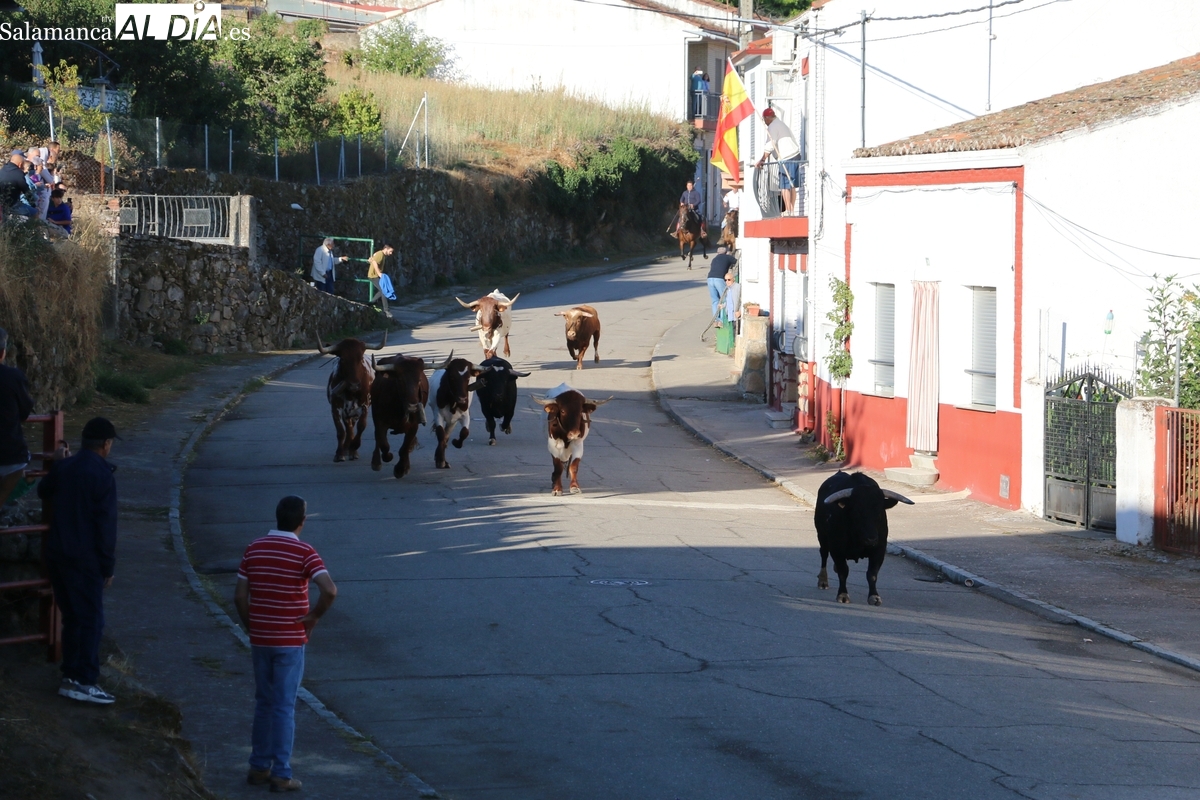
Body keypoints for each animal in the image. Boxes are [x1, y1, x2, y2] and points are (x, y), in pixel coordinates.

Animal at [316, 330, 387, 462]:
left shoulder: (364, 406)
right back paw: (346, 448)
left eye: (360, 358)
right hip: (347, 412)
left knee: (352, 428)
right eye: (343, 358)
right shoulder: (335, 408)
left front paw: (354, 448)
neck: (350, 393)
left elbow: (361, 426)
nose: (354, 385)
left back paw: (351, 449)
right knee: (348, 429)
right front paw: (340, 453)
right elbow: (341, 431)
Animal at [814, 471, 913, 606]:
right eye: (857, 512)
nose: (871, 539)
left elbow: (872, 574)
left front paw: (874, 597)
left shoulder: (879, 549)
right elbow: (843, 571)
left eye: (879, 512)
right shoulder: (836, 548)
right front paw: (843, 595)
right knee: (823, 555)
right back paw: (823, 581)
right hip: (822, 537)